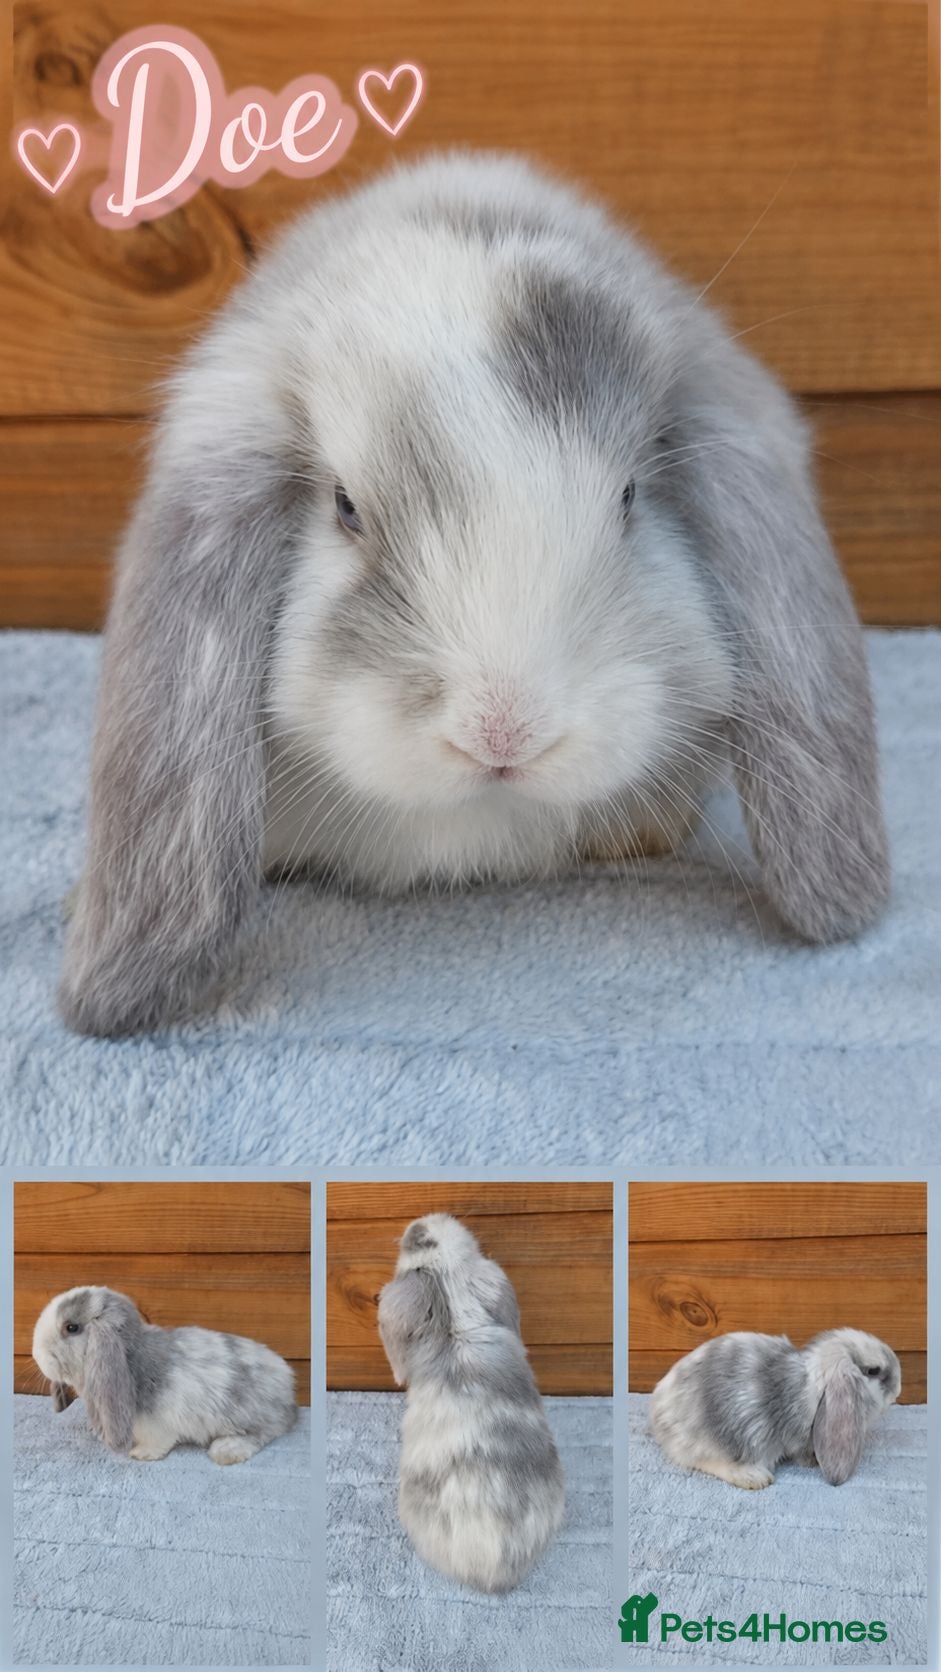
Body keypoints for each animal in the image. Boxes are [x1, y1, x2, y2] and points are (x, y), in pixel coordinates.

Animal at [32, 1285, 297, 1464]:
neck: (131, 1356)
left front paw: (141, 1454)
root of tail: (287, 1383)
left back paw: (226, 1451)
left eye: (71, 1328)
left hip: (247, 1415)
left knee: (266, 1432)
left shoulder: (156, 1422)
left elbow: (157, 1441)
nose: (37, 1355)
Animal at [649, 1327, 901, 1489]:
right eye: (873, 1371)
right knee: (697, 1460)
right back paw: (753, 1477)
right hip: (715, 1441)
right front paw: (812, 1462)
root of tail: (659, 1408)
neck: (812, 1385)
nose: (898, 1389)